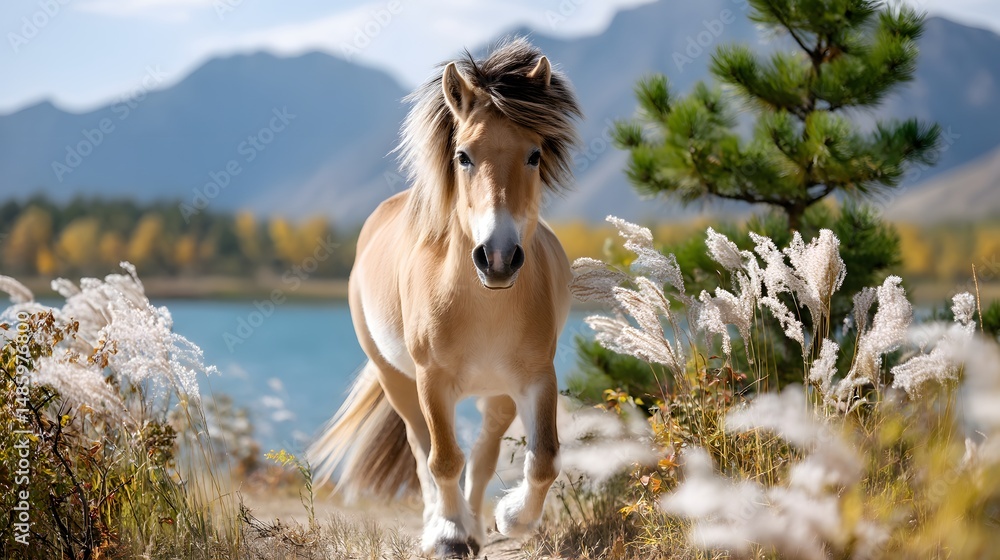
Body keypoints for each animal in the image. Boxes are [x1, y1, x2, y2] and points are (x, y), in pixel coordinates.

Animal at [307, 38, 582, 557]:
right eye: (463, 156)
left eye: (534, 155)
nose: (498, 258)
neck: (483, 304)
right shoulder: (432, 380)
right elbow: (443, 460)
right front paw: (450, 534)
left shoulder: (537, 378)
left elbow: (543, 459)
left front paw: (510, 519)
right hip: (396, 379)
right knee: (422, 451)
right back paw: (442, 522)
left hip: (497, 393)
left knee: (486, 451)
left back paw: (476, 522)